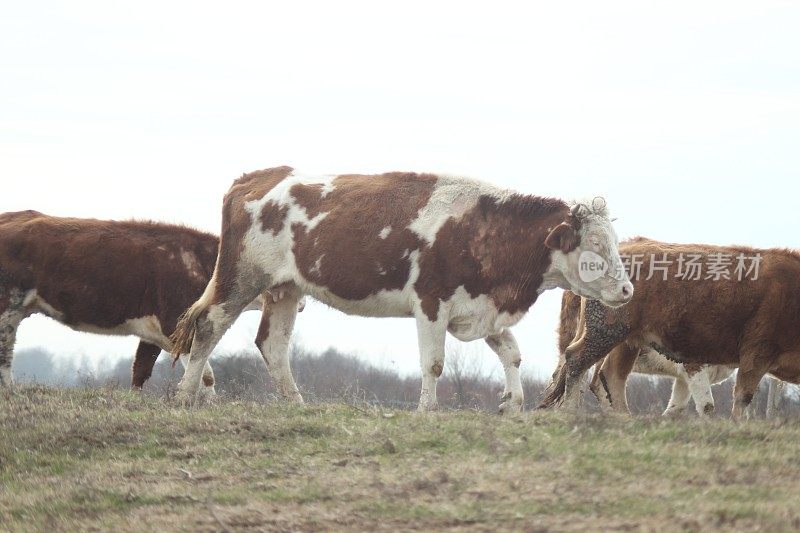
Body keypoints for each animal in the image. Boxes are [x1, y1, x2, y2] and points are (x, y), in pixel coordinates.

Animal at [172, 166, 636, 412]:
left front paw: (512, 403)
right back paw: (184, 395)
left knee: (272, 345)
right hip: (241, 277)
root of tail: (258, 176)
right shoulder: (431, 302)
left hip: (285, 289)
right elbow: (434, 364)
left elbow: (512, 353)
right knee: (208, 326)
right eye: (595, 247)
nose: (628, 290)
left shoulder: (481, 307)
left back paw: (296, 404)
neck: (483, 229)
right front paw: (427, 410)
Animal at [536, 235, 800, 418]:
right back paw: (571, 410)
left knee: (611, 376)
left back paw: (624, 418)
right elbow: (735, 399)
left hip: (626, 342)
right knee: (576, 362)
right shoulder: (755, 353)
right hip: (605, 333)